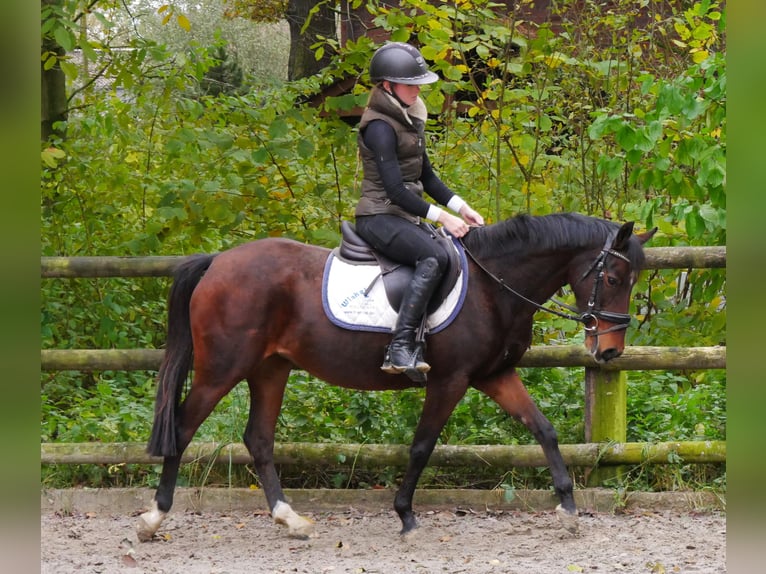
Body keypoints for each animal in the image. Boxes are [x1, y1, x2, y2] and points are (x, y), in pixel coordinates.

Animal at [135, 214, 656, 544]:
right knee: (183, 428)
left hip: (270, 368)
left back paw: (291, 520)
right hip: (222, 368)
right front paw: (405, 515)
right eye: (613, 278)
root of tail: (219, 262)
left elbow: (542, 429)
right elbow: (423, 445)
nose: (610, 351)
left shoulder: (494, 375)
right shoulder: (451, 379)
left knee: (258, 439)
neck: (493, 286)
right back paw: (154, 518)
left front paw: (568, 509)